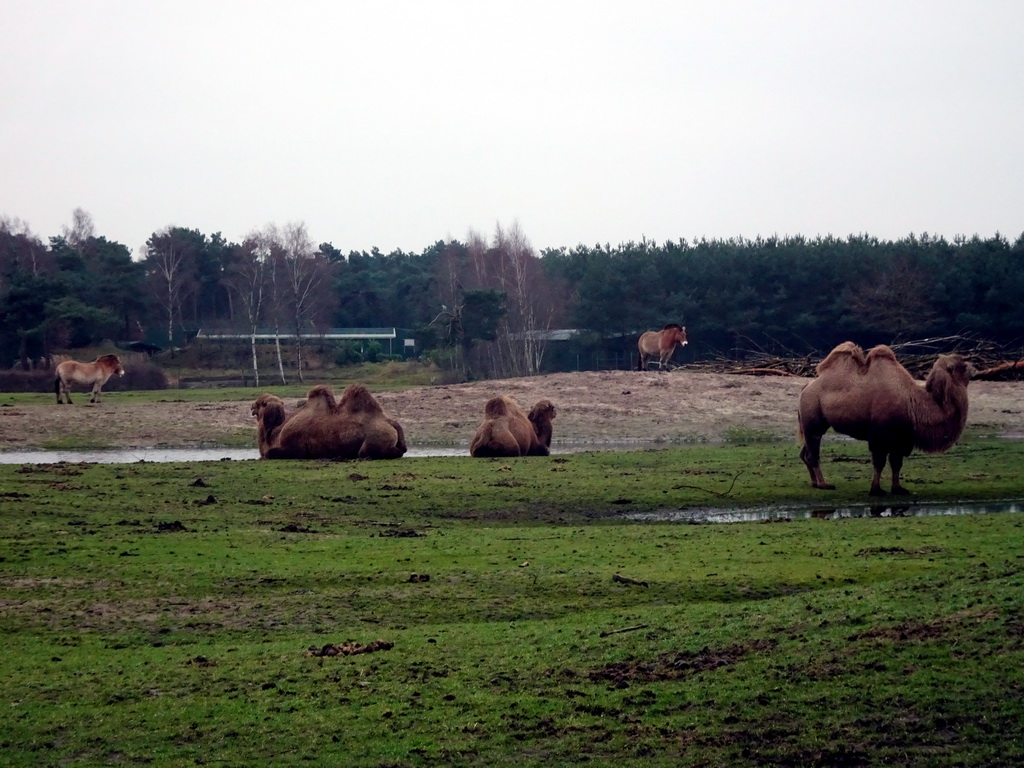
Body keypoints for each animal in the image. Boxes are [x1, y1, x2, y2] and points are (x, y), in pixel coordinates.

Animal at [256, 382, 407, 460]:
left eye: (258, 404)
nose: (252, 408)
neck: (274, 436)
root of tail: (392, 424)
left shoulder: (293, 447)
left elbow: (270, 453)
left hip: (376, 436)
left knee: (367, 452)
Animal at [794, 339, 970, 495]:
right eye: (963, 366)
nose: (973, 368)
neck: (914, 402)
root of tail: (805, 388)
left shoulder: (902, 438)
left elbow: (896, 463)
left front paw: (898, 489)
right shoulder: (880, 436)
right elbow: (879, 462)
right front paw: (876, 490)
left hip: (816, 425)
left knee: (805, 452)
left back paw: (815, 483)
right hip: (813, 419)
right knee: (812, 453)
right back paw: (824, 484)